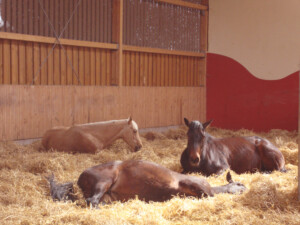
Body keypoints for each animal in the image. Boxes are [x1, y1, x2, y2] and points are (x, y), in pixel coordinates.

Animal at [77, 159, 246, 207]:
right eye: (239, 184)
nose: (245, 187)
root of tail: (81, 177)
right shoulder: (189, 182)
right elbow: (208, 194)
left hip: (108, 195)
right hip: (104, 181)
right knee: (92, 201)